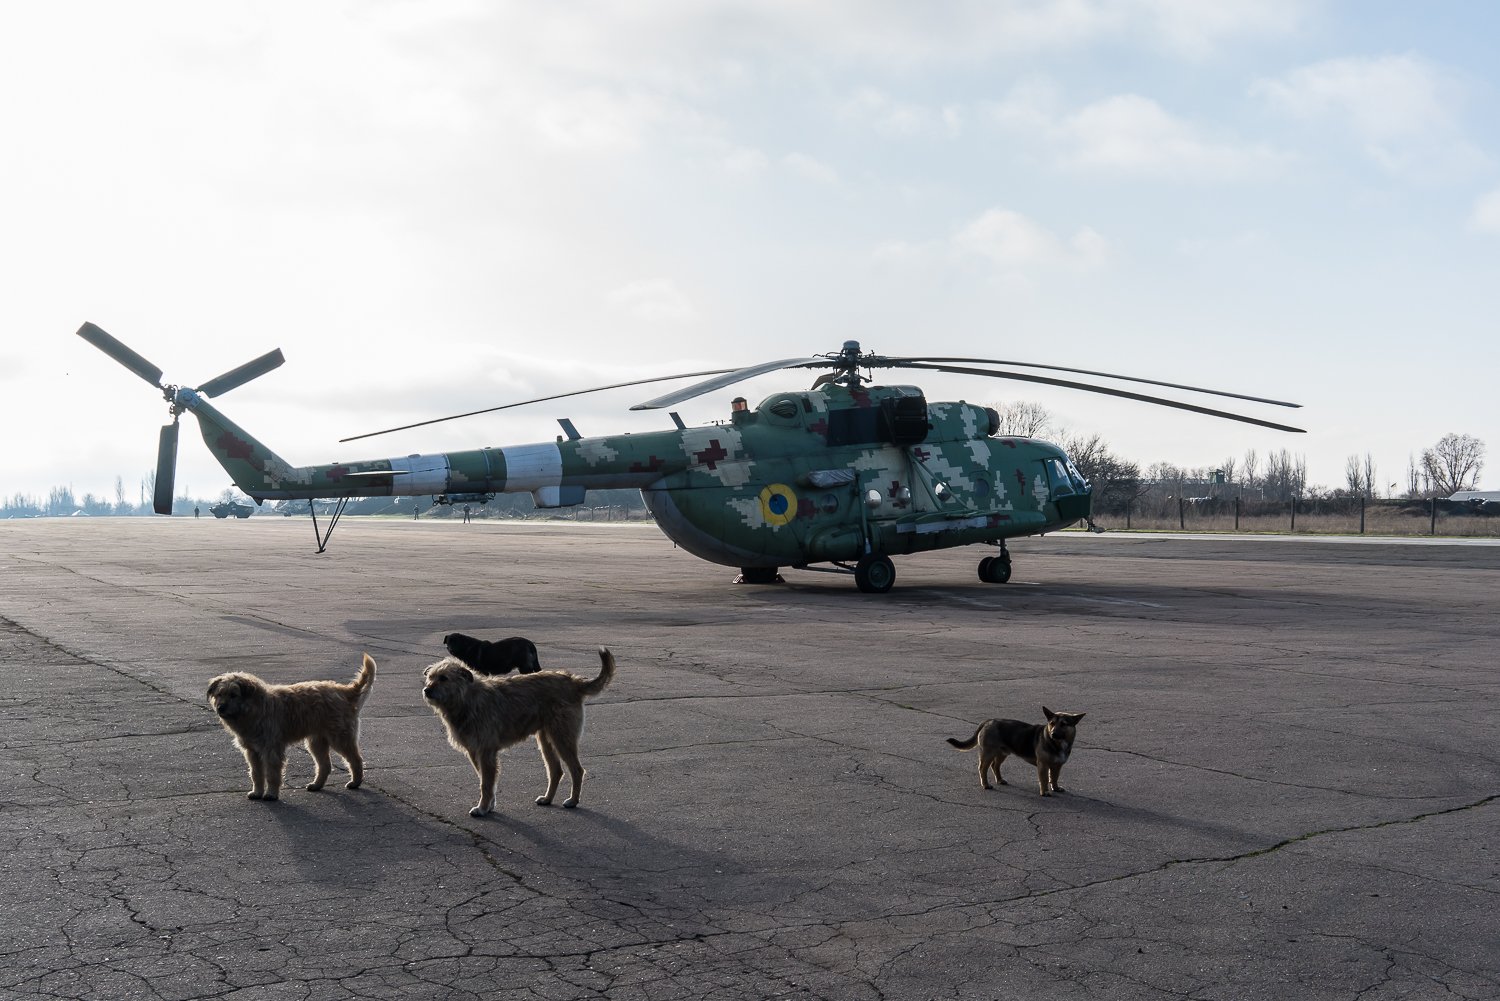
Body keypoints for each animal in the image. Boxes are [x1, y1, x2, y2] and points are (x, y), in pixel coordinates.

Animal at [205, 654, 378, 804]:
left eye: (233, 694)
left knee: (355, 759)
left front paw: (271, 794)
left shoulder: (271, 750)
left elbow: (272, 774)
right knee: (324, 765)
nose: (220, 708)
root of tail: (344, 691)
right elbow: (256, 774)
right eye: (220, 694)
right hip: (316, 741)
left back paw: (355, 782)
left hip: (340, 738)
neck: (254, 709)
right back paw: (316, 785)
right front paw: (257, 792)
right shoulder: (252, 751)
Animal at [420, 645, 612, 816]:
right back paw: (547, 798)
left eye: (443, 678)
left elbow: (486, 783)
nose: (427, 690)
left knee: (577, 770)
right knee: (556, 771)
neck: (467, 699)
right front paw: (489, 805)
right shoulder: (474, 752)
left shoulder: (485, 752)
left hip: (562, 737)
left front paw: (482, 808)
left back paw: (573, 800)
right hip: (546, 740)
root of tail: (573, 681)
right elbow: (485, 779)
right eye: (430, 677)